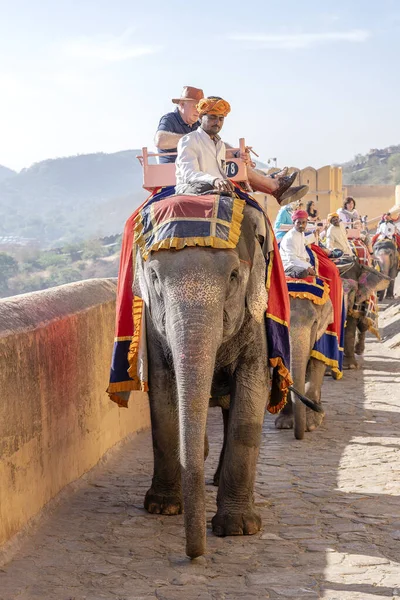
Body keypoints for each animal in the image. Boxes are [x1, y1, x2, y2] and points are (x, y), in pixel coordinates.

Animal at [134, 204, 276, 560]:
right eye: (154, 278)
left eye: (234, 276)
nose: (194, 554)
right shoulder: (154, 329)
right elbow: (162, 390)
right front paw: (162, 508)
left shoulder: (256, 319)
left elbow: (251, 392)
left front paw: (238, 529)